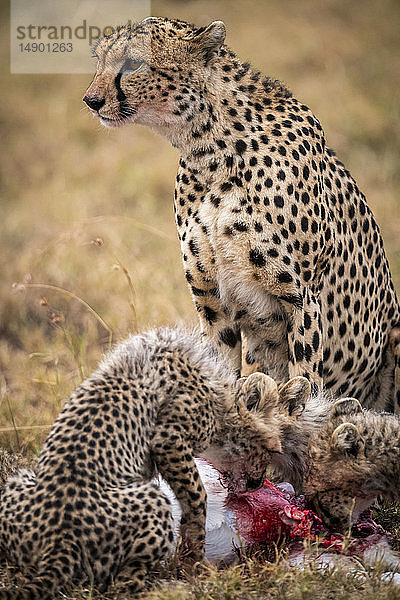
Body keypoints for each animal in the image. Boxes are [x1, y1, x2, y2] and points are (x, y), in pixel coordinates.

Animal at [0, 330, 284, 596]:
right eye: (272, 450)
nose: (258, 483)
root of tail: (59, 541)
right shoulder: (168, 440)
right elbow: (197, 496)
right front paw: (194, 561)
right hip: (154, 501)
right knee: (121, 586)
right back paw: (167, 586)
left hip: (19, 482)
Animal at [83, 18, 400, 410]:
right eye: (99, 60)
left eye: (134, 64)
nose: (91, 100)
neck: (209, 150)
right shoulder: (212, 301)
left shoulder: (303, 299)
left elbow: (304, 379)